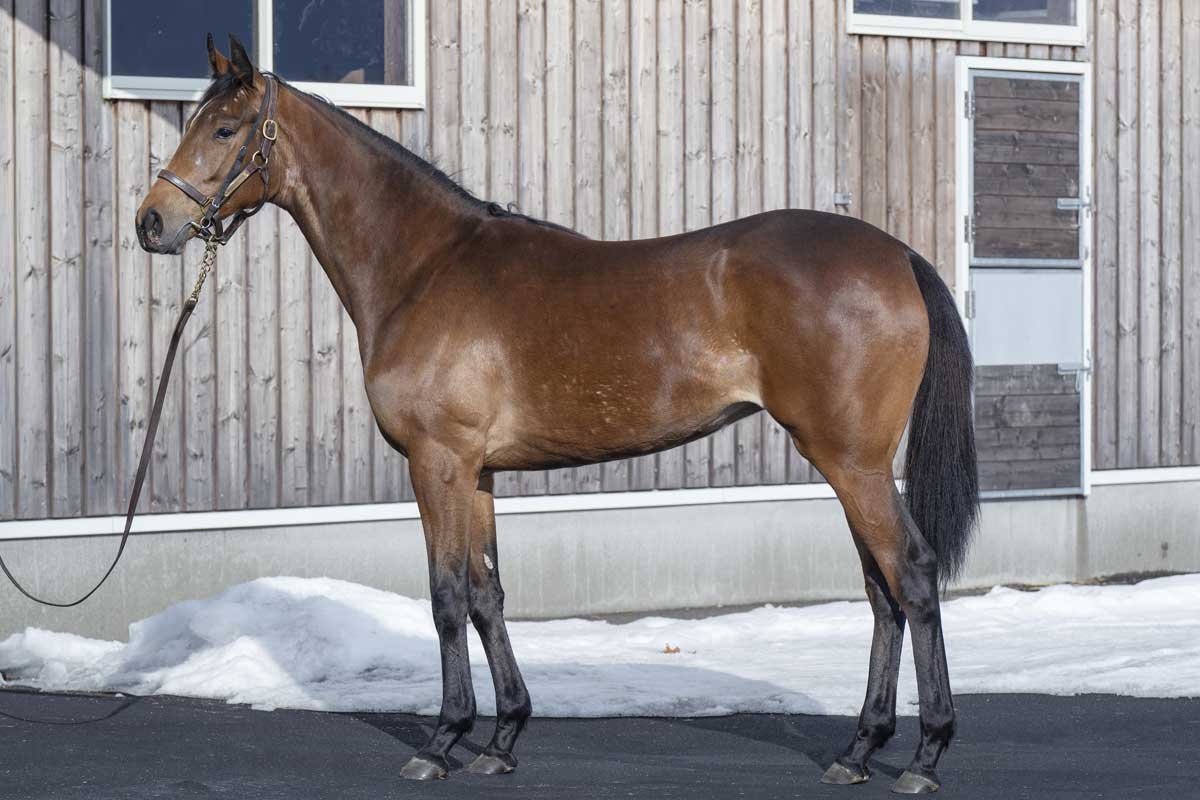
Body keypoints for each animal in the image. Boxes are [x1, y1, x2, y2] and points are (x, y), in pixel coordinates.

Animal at [135, 35, 978, 794]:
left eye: (224, 129)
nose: (152, 223)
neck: (424, 268)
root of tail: (898, 256)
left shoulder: (437, 462)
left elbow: (446, 597)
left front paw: (442, 740)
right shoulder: (476, 473)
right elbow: (487, 595)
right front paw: (502, 737)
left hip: (851, 462)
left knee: (911, 575)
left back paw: (926, 755)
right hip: (847, 464)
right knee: (880, 590)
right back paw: (859, 750)